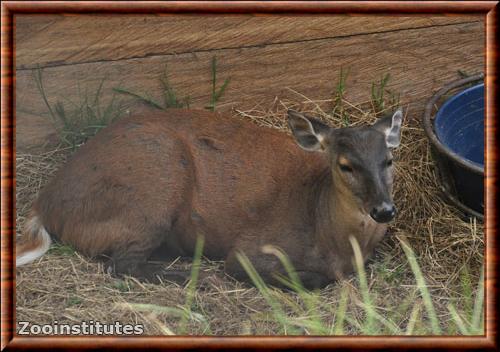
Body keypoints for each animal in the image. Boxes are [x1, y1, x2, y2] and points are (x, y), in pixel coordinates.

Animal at [17, 108, 404, 288]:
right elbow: (312, 278)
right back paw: (194, 275)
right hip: (153, 192)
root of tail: (43, 204)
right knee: (121, 264)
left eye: (388, 159)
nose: (384, 210)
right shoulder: (251, 249)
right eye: (345, 165)